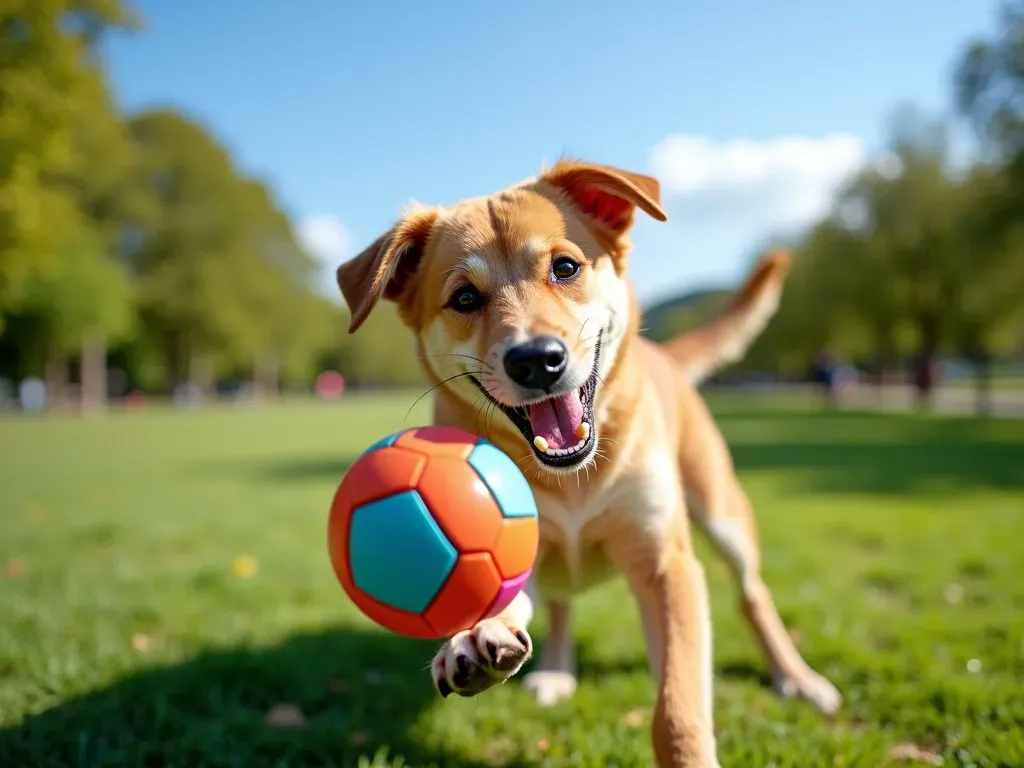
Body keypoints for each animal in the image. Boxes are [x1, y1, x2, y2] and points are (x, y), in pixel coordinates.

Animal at [335, 159, 839, 765]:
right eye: (464, 298)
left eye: (566, 266)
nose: (537, 360)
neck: (572, 478)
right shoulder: (514, 547)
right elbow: (507, 599)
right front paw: (477, 638)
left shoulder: (666, 564)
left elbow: (678, 709)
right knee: (561, 606)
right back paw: (554, 671)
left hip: (722, 512)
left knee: (753, 594)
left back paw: (797, 677)